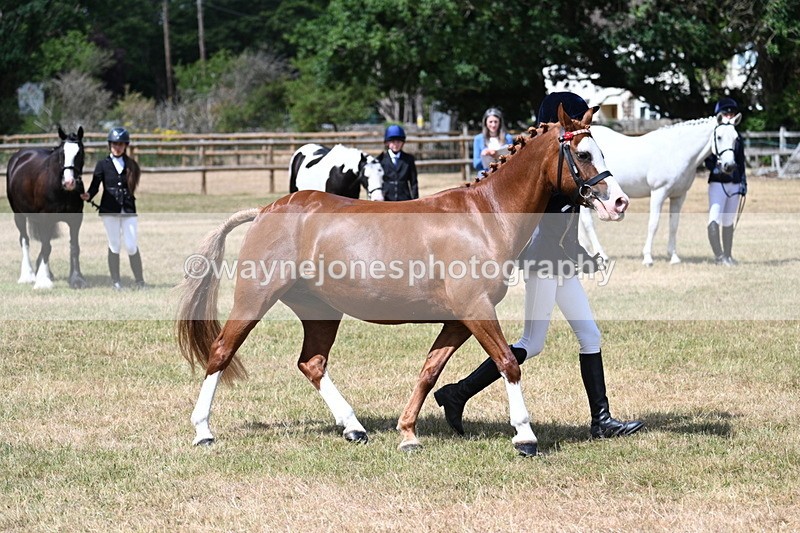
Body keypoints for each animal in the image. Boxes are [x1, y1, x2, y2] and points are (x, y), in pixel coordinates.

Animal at [6, 126, 87, 289]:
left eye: (80, 153)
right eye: (62, 153)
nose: (69, 182)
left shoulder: (75, 219)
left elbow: (73, 247)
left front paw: (76, 279)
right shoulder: (45, 218)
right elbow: (45, 247)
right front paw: (43, 281)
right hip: (19, 215)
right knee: (24, 240)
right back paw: (27, 275)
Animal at [177, 105, 629, 457]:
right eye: (583, 153)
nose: (619, 202)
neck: (485, 217)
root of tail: (267, 210)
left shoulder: (458, 319)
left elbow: (430, 371)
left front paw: (409, 433)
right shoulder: (477, 310)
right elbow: (507, 363)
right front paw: (525, 436)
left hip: (321, 311)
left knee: (312, 363)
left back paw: (354, 427)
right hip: (254, 301)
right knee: (220, 352)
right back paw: (203, 431)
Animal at [579, 114, 741, 266]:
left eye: (735, 138)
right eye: (719, 137)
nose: (730, 166)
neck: (676, 151)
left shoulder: (679, 196)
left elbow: (674, 225)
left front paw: (674, 257)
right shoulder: (659, 192)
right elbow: (653, 224)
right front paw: (647, 258)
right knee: (588, 223)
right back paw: (602, 255)